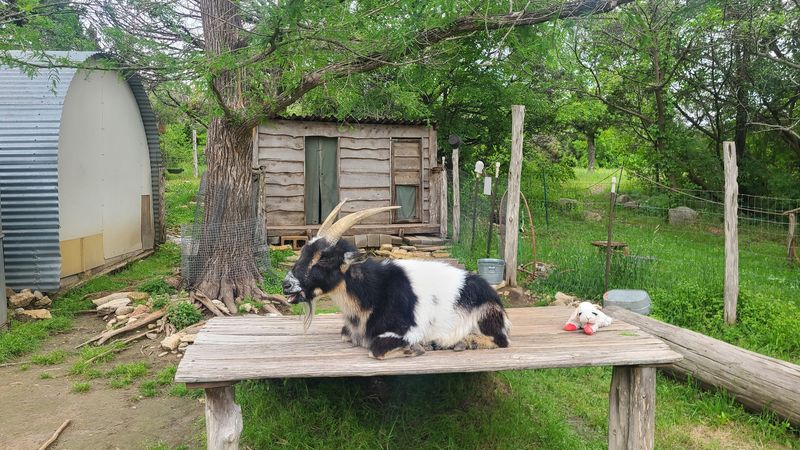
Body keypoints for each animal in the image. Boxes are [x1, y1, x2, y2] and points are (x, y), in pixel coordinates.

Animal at [282, 200, 511, 359]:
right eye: (303, 252)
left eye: (323, 259)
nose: (286, 285)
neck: (371, 294)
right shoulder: (349, 331)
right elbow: (344, 334)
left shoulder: (408, 329)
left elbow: (376, 348)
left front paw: (417, 348)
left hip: (486, 317)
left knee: (502, 340)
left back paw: (463, 342)